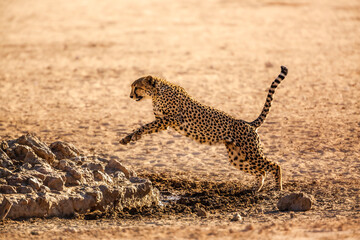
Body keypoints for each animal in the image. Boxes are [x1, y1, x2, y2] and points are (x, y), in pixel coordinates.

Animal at [119, 65, 288, 191]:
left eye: (136, 87)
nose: (130, 96)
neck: (156, 92)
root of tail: (248, 123)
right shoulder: (162, 121)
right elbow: (147, 127)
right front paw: (128, 138)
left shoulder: (171, 119)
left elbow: (145, 126)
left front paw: (134, 135)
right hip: (237, 157)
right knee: (261, 171)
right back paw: (256, 189)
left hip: (251, 152)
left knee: (274, 165)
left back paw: (277, 188)